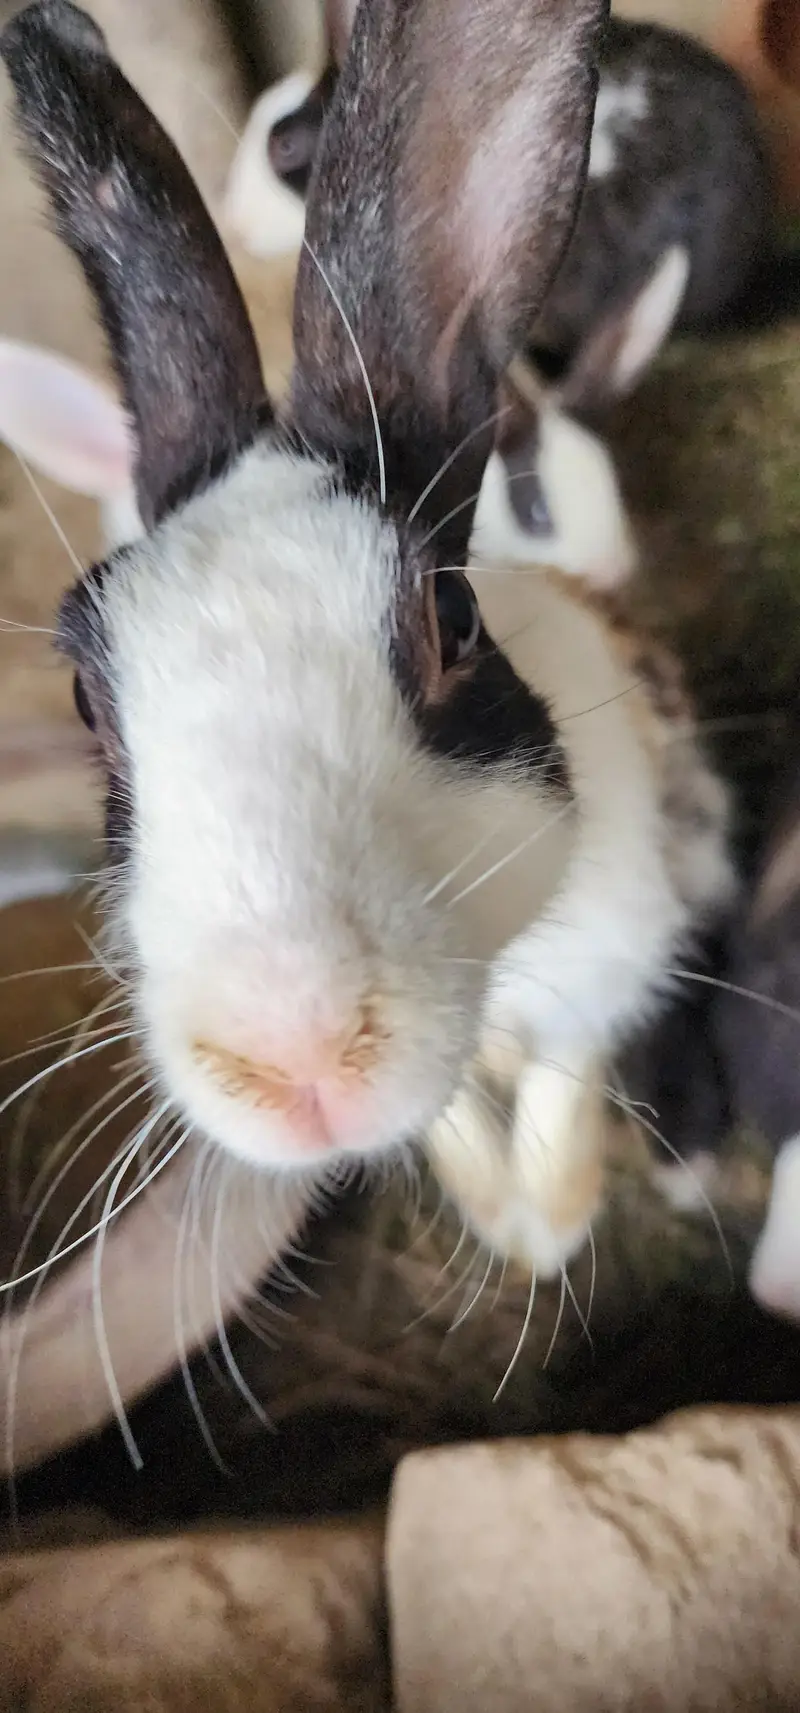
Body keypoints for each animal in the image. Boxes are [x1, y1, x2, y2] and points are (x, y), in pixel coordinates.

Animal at [0, 0, 737, 1478]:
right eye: (89, 701)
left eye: (449, 620)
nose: (292, 1060)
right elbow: (457, 1117)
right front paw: (501, 1207)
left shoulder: (605, 961)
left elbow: (561, 1085)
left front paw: (547, 1226)